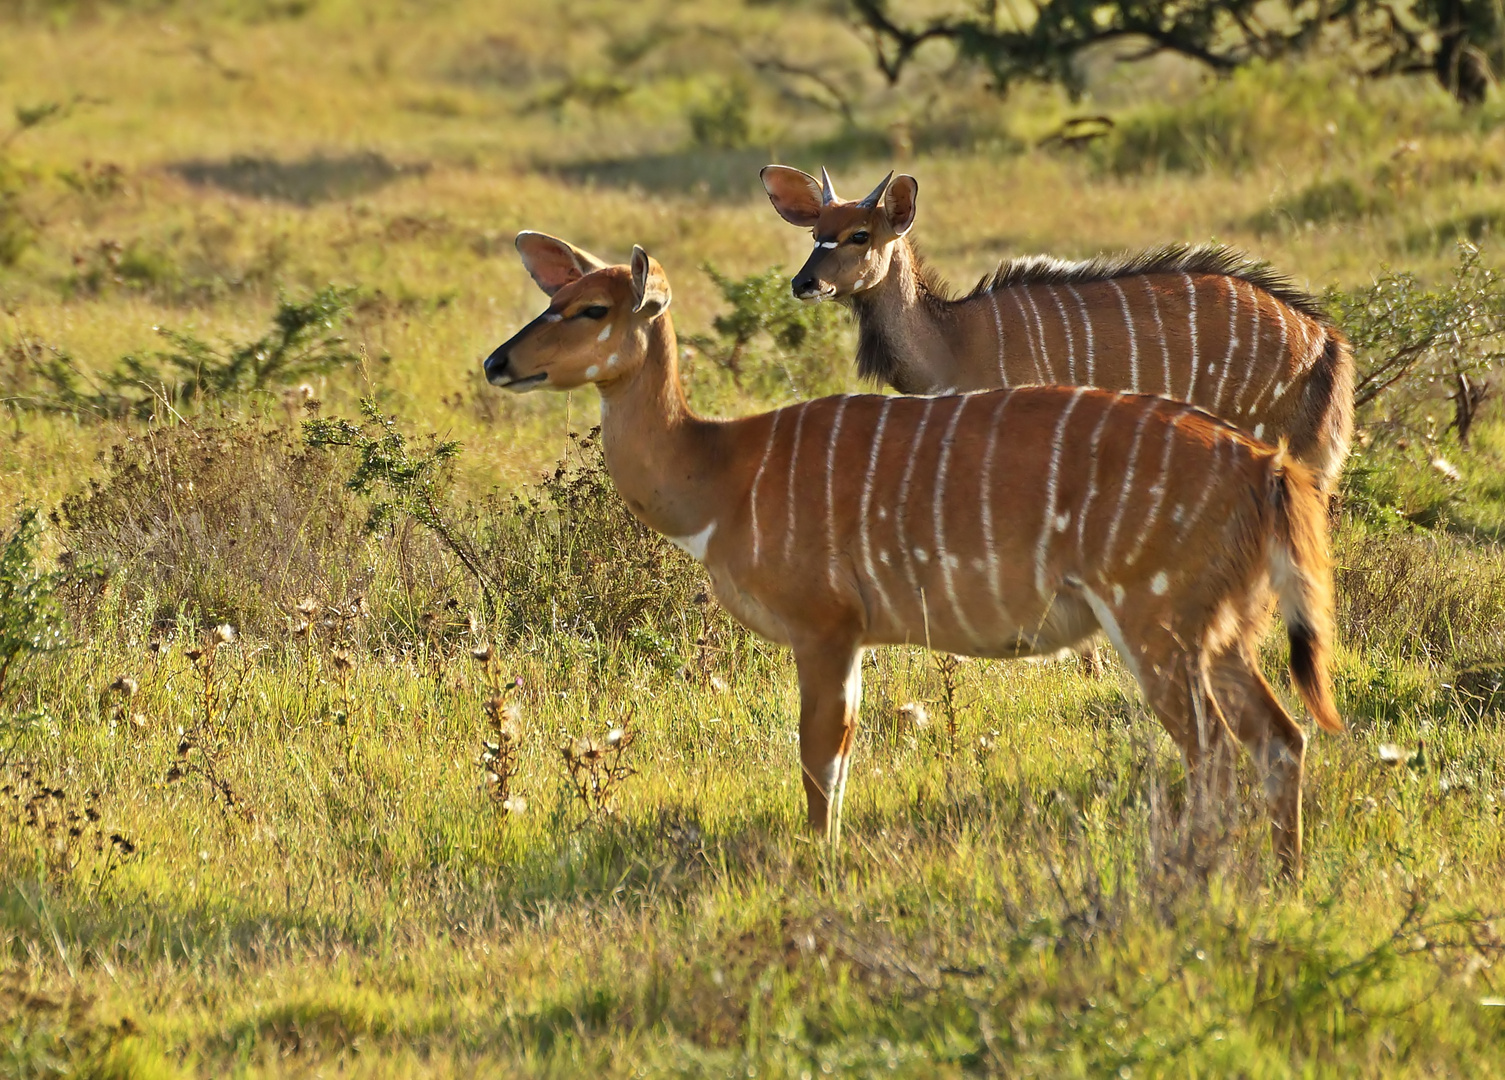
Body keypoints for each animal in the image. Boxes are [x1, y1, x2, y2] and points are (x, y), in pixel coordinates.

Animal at [487, 230, 1348, 878]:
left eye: (590, 308)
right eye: (549, 297)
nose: (498, 363)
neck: (722, 473)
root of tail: (1268, 468)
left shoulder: (824, 627)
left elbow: (821, 757)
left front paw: (820, 863)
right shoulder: (852, 637)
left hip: (1155, 621)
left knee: (1214, 752)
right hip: (1223, 632)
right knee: (1280, 739)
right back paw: (1285, 880)